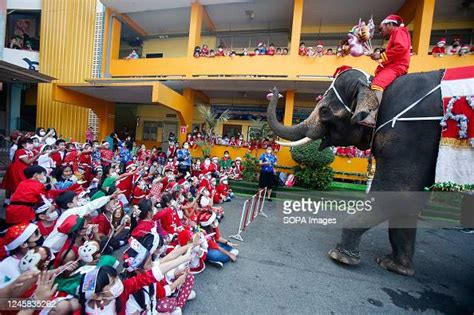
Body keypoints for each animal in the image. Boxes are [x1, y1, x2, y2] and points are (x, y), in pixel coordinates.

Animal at [268, 68, 446, 276]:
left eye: (324, 111)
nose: (275, 90)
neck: (375, 88)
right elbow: (409, 201)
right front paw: (394, 266)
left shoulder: (408, 136)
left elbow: (396, 194)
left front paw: (340, 257)